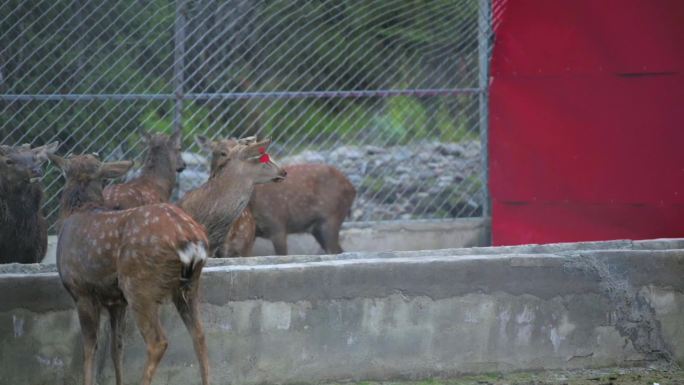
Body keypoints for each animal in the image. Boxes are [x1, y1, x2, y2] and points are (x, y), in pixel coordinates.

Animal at [48, 153, 210, 384]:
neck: (78, 210)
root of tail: (192, 240)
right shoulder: (116, 301)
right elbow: (117, 348)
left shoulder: (81, 291)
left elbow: (90, 348)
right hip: (189, 286)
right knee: (200, 335)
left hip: (139, 284)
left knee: (158, 341)